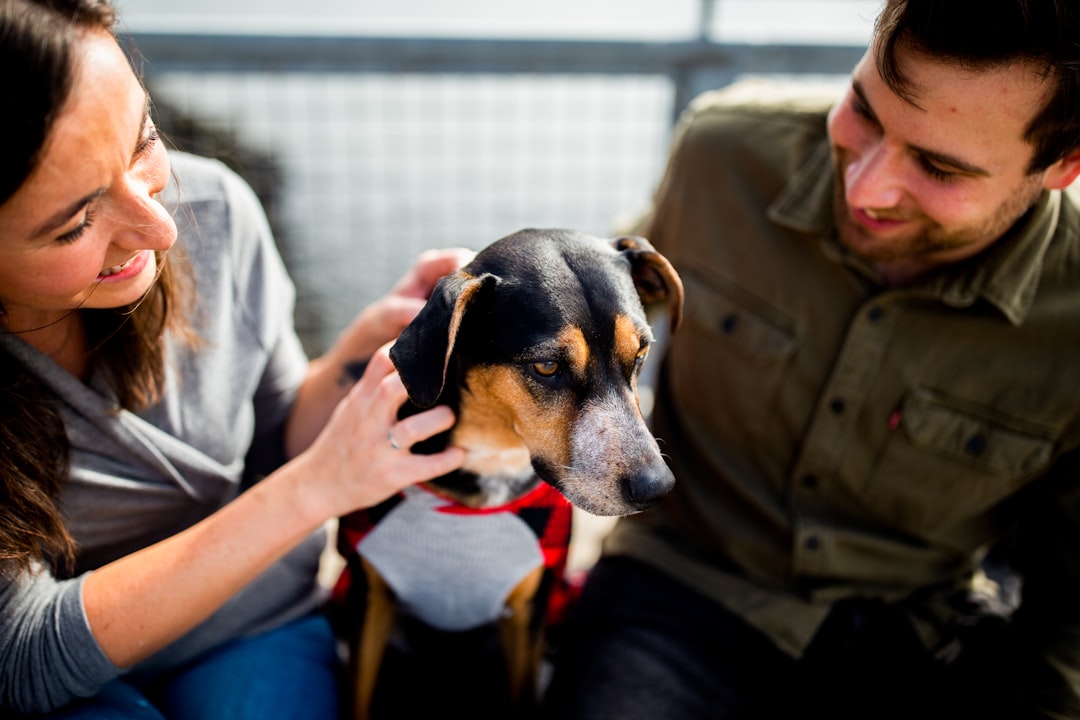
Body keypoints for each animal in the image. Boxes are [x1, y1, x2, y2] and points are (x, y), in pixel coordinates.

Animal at [330, 227, 682, 716]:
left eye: (642, 353)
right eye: (547, 366)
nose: (656, 487)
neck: (493, 460)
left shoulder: (530, 613)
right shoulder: (368, 601)